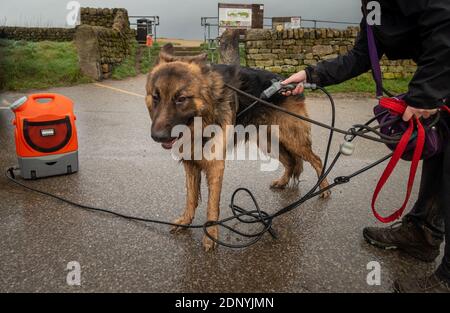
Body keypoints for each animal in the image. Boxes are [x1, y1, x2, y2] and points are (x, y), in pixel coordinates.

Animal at [146, 44, 328, 250]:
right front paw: (186, 221)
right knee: (290, 162)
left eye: (181, 98)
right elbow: (191, 197)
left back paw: (324, 189)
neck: (203, 118)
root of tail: (285, 83)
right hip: (268, 142)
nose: (157, 136)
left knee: (316, 159)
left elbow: (211, 205)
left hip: (292, 139)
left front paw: (211, 236)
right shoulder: (191, 163)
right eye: (155, 97)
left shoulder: (215, 165)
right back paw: (282, 182)